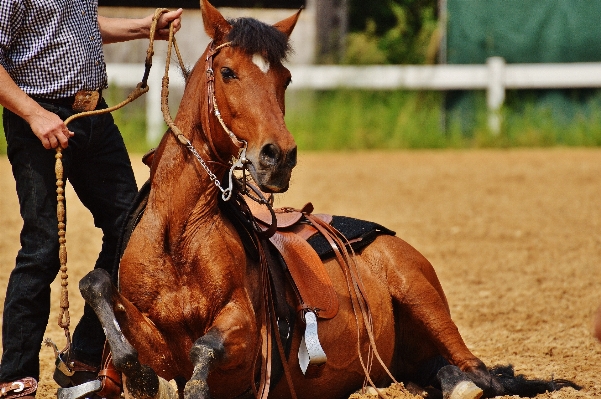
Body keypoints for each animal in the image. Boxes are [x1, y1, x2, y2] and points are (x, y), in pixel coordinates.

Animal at [75, 0, 576, 399]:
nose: (278, 156)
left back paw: (465, 385)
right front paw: (138, 377)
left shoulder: (245, 330)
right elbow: (99, 292)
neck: (178, 238)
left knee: (477, 370)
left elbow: (206, 349)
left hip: (421, 295)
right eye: (228, 72)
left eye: (285, 78)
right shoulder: (146, 327)